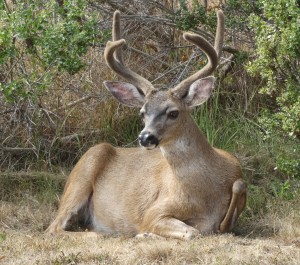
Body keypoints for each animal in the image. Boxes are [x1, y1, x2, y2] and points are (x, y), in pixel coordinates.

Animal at [47, 9, 247, 239]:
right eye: (142, 113)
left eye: (173, 112)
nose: (145, 137)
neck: (202, 195)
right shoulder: (154, 211)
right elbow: (191, 232)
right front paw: (145, 234)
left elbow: (235, 193)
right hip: (85, 170)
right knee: (54, 227)